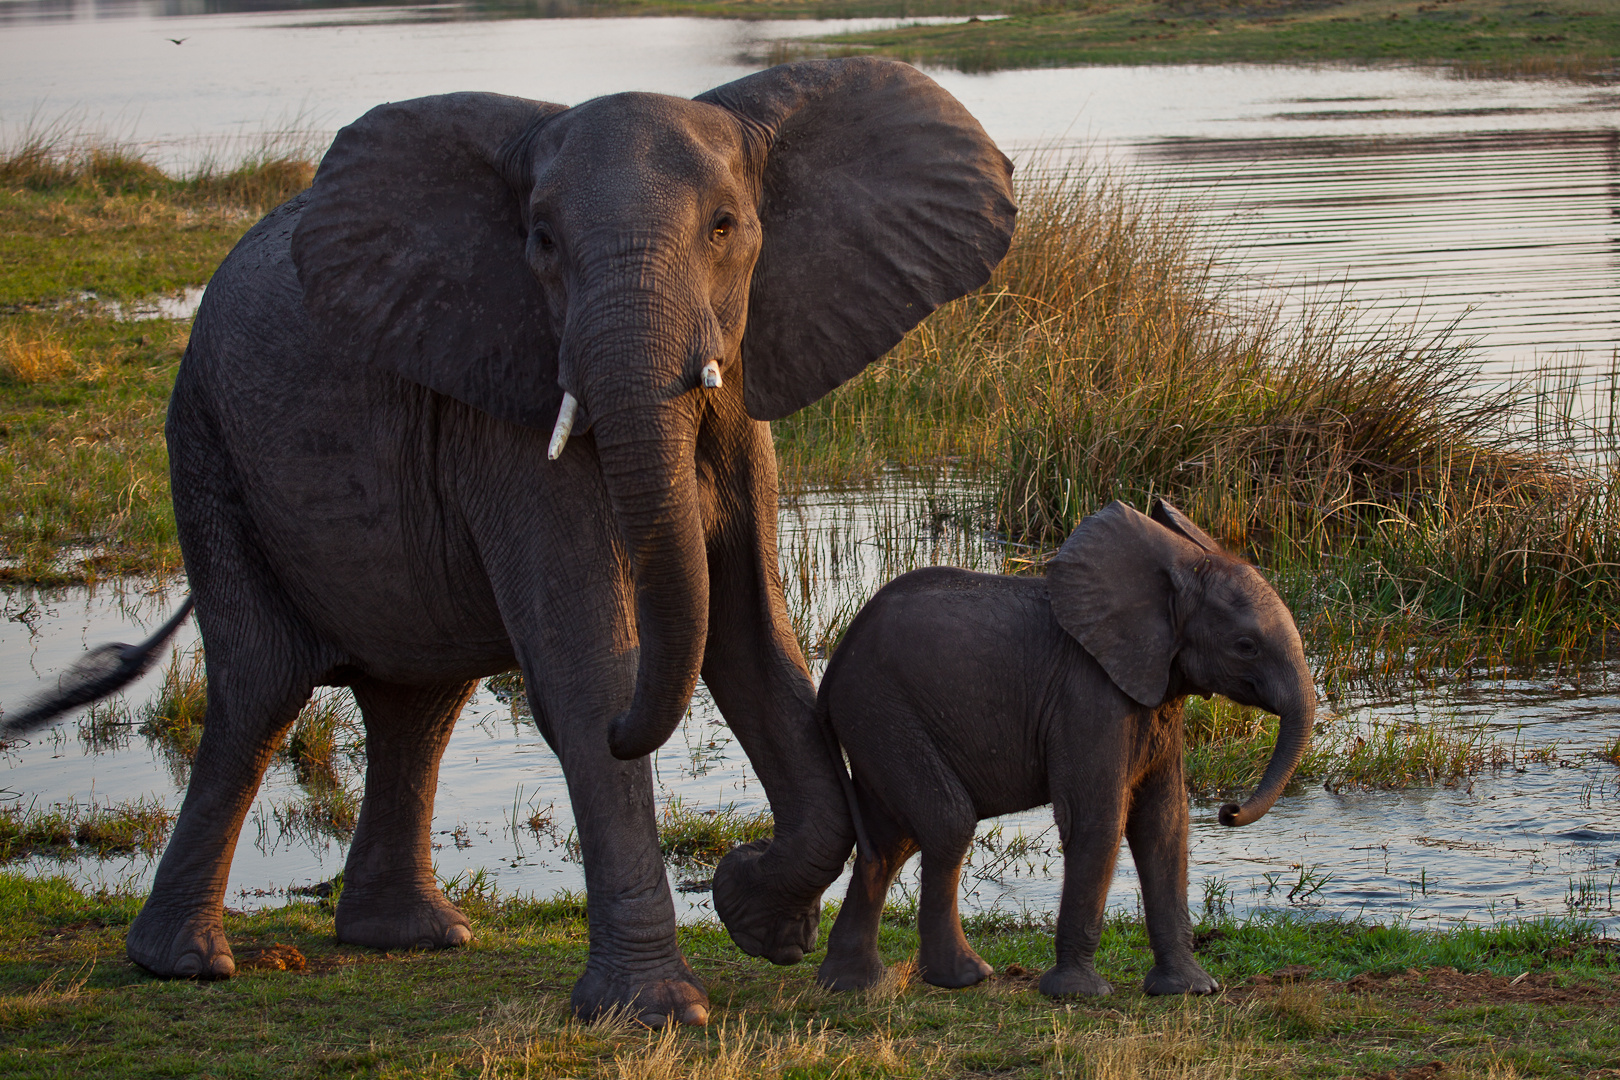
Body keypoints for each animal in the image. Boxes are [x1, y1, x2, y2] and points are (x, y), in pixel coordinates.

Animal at [126, 61, 1017, 1029]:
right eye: (542, 242)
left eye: (724, 226)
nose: (736, 872)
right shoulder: (506, 404)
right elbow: (590, 669)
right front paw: (657, 1011)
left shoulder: (742, 395)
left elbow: (757, 649)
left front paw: (756, 918)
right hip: (206, 446)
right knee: (260, 689)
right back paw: (186, 964)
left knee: (418, 703)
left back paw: (412, 938)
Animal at [822, 498, 1315, 997]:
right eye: (1246, 646)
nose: (1228, 811)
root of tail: (836, 660)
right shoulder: (1088, 696)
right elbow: (1097, 819)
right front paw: (1078, 994)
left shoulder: (1155, 691)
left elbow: (1164, 822)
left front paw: (1189, 989)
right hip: (880, 709)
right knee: (946, 822)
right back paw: (964, 977)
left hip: (879, 721)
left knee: (891, 842)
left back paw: (852, 983)